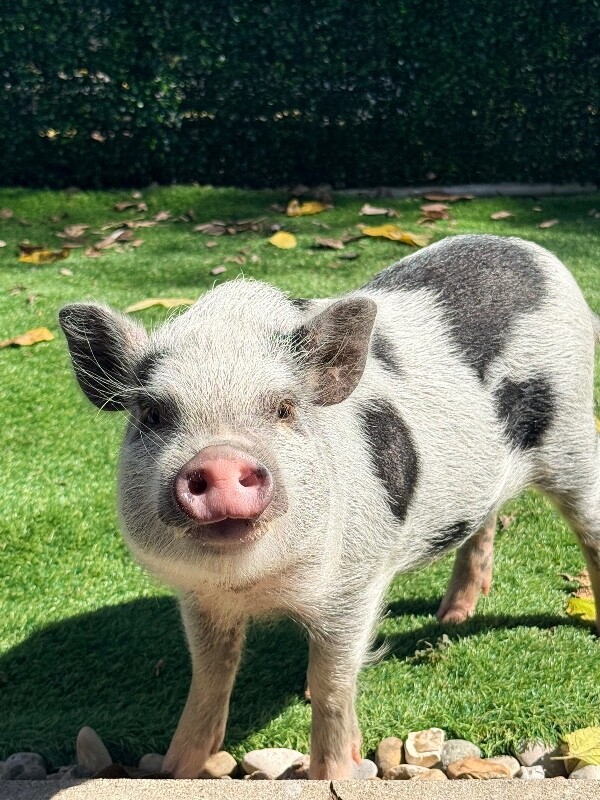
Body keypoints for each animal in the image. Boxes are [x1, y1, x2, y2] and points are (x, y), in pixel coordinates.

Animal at [59, 234, 600, 780]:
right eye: (152, 413)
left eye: (284, 408)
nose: (219, 459)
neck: (256, 586)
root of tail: (531, 251)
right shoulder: (200, 597)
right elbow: (210, 679)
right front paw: (175, 771)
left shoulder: (354, 582)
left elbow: (332, 685)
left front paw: (333, 774)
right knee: (483, 521)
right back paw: (453, 616)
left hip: (572, 433)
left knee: (588, 526)